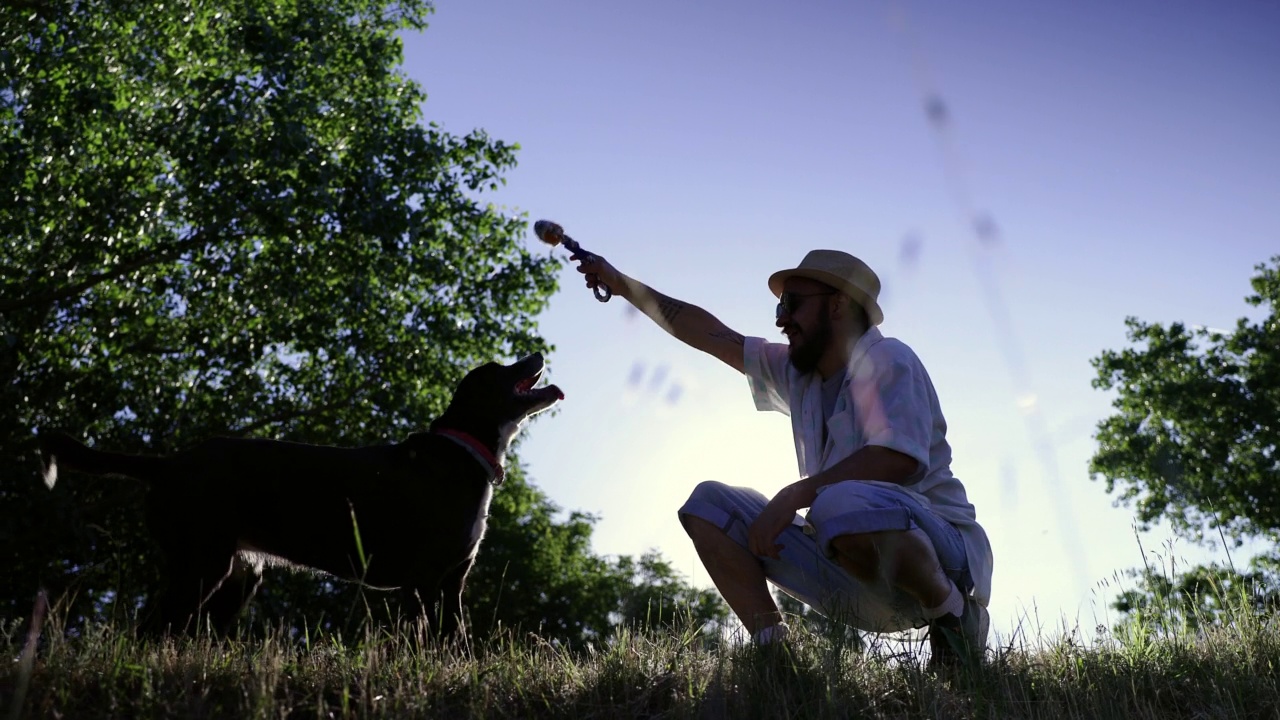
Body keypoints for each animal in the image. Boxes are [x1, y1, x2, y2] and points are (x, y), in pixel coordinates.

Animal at [38, 351, 565, 635]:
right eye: (499, 368)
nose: (536, 353)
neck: (464, 448)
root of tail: (167, 463)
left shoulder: (453, 580)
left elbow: (454, 638)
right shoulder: (421, 580)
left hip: (236, 576)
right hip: (201, 562)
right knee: (152, 629)